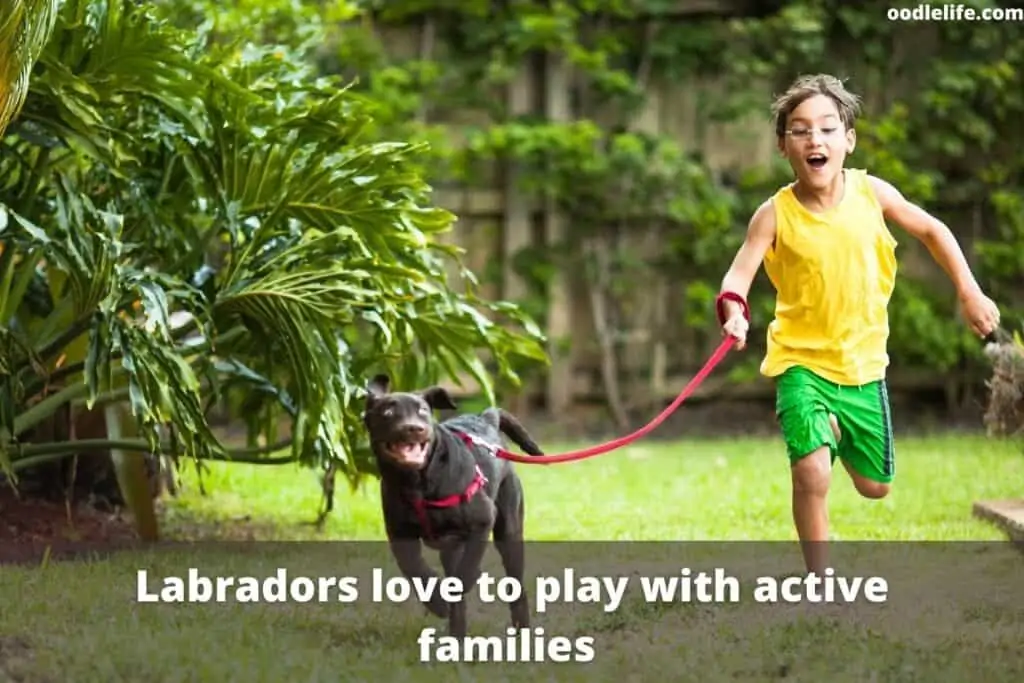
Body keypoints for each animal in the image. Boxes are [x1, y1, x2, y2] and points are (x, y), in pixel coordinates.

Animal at [364, 374, 548, 634]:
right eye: (388, 412)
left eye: (423, 411)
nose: (415, 428)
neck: (418, 483)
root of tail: (486, 419)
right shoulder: (400, 535)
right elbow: (414, 569)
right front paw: (436, 602)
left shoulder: (483, 519)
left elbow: (469, 565)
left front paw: (467, 579)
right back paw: (456, 636)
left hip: (509, 531)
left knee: (515, 585)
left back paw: (521, 627)